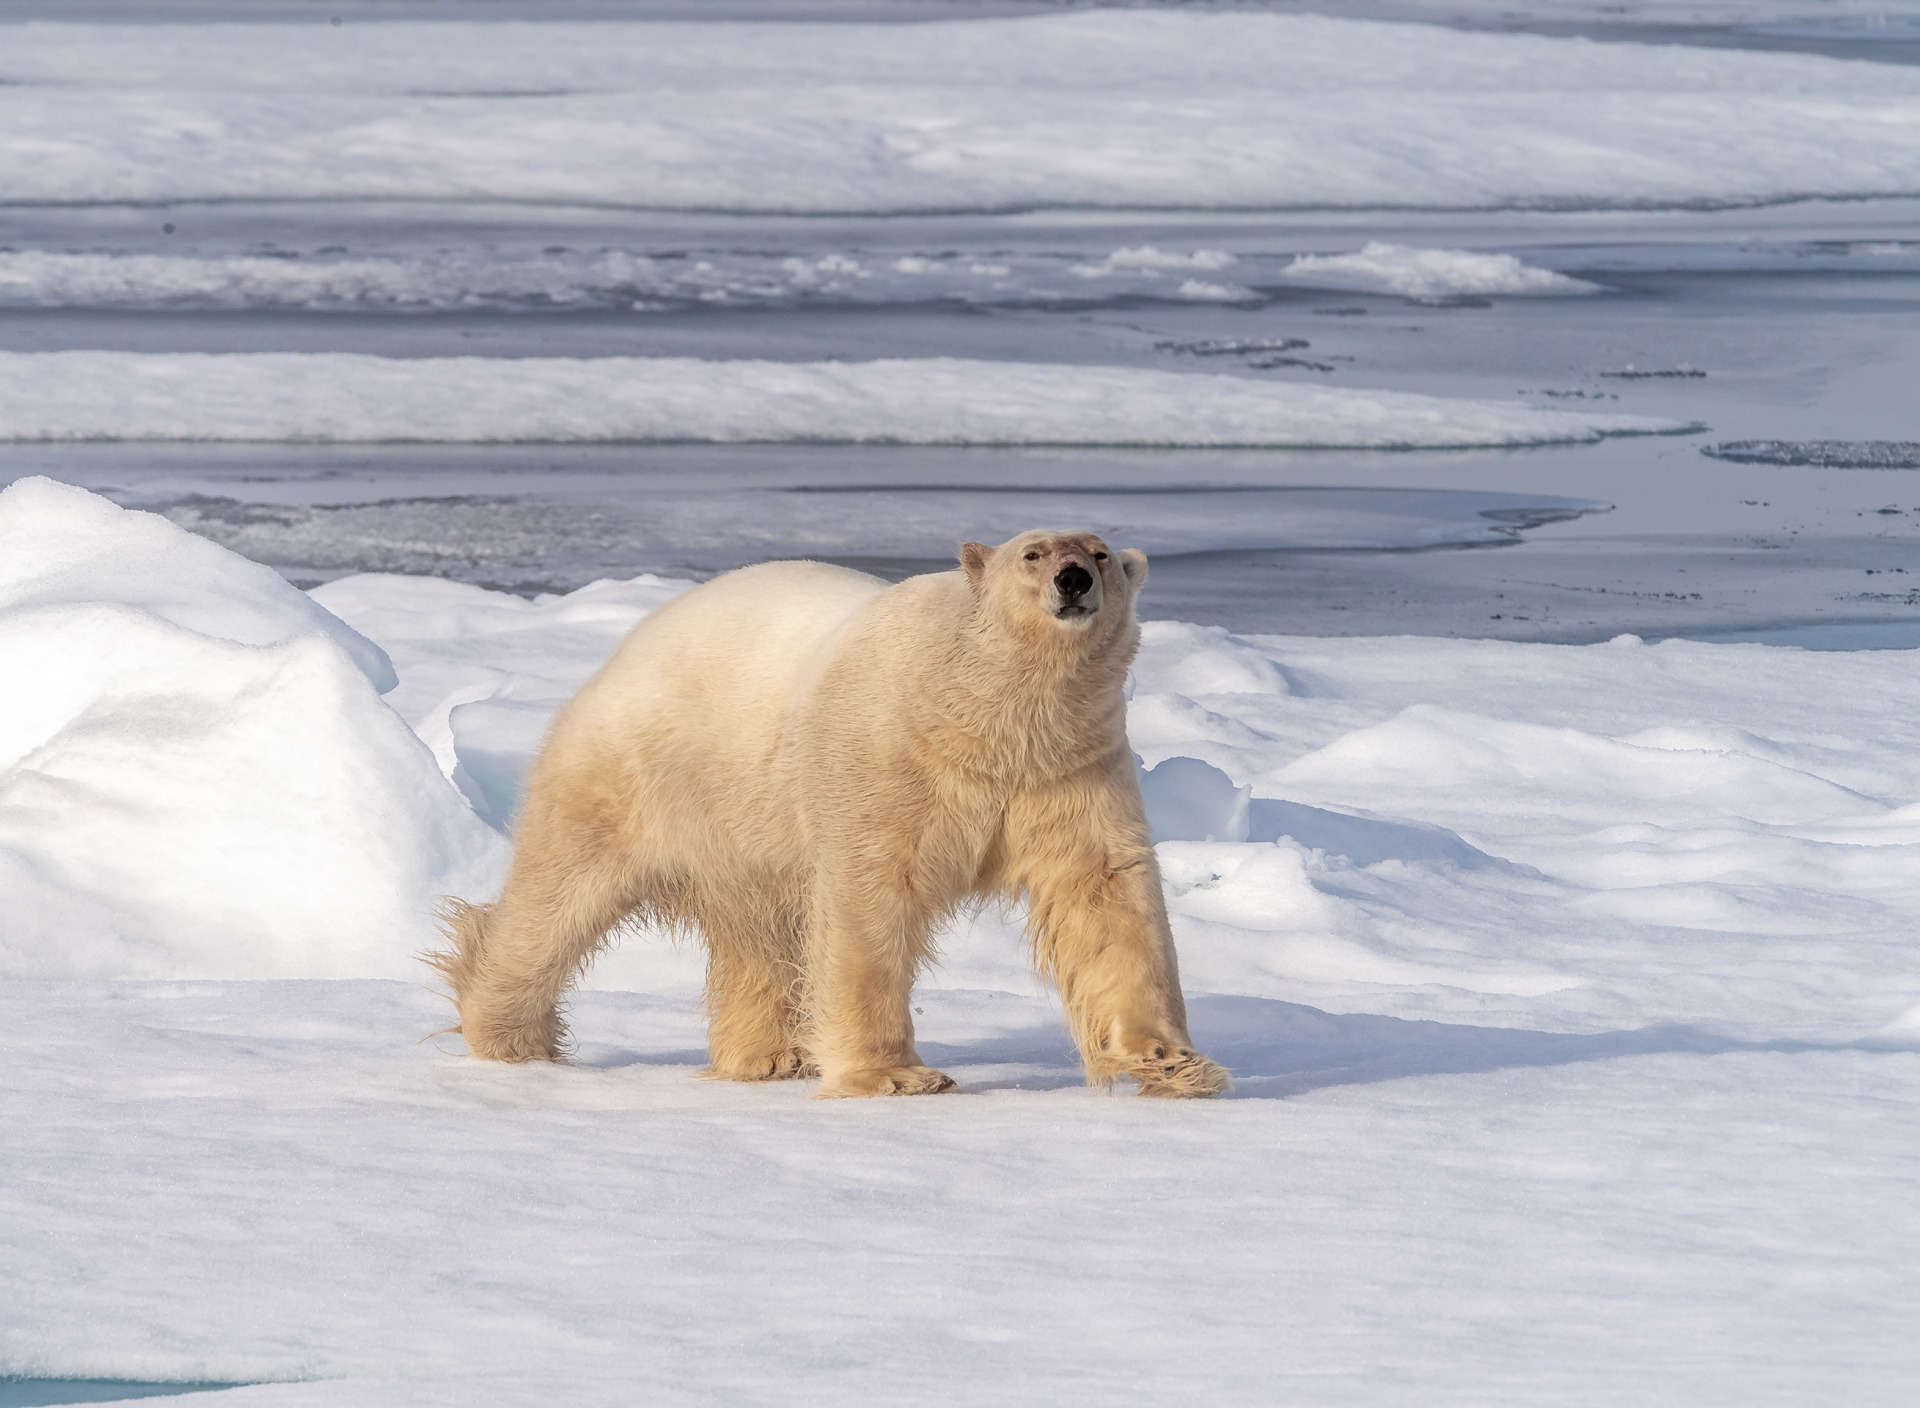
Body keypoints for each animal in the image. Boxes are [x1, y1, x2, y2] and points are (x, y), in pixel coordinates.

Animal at [432, 530, 1228, 1098]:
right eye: (1032, 553)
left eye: (1101, 553)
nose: (1074, 580)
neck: (984, 720)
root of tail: (627, 646)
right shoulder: (885, 760)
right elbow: (867, 898)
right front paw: (896, 1076)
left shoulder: (1069, 771)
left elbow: (1106, 897)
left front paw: (1175, 1064)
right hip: (632, 773)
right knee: (558, 899)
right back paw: (508, 1034)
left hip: (743, 826)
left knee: (760, 933)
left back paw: (767, 1057)